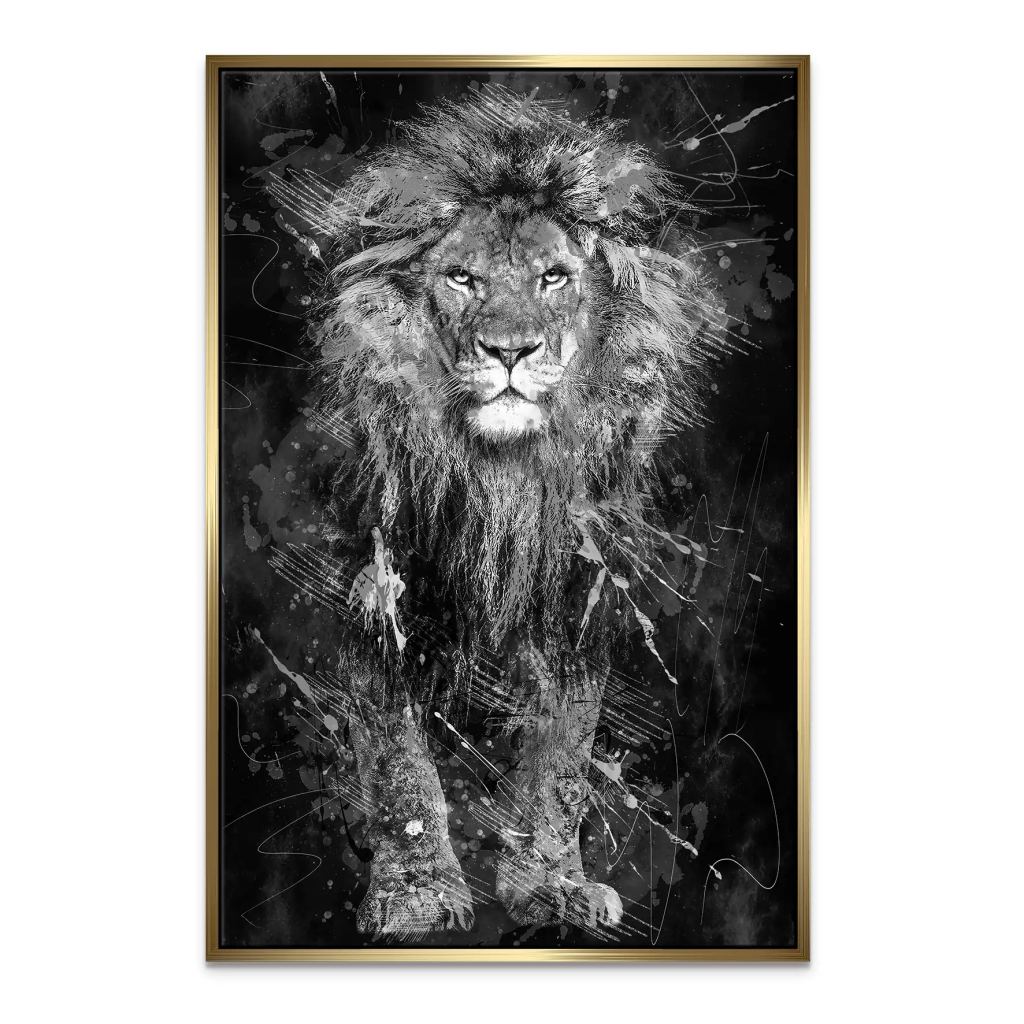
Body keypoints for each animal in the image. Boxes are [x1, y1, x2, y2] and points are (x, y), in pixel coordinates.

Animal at [267, 84, 722, 941]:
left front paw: (554, 886)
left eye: (554, 278)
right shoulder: (378, 590)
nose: (510, 351)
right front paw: (416, 896)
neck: (500, 480)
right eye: (461, 279)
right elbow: (401, 767)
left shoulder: (576, 595)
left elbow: (564, 761)